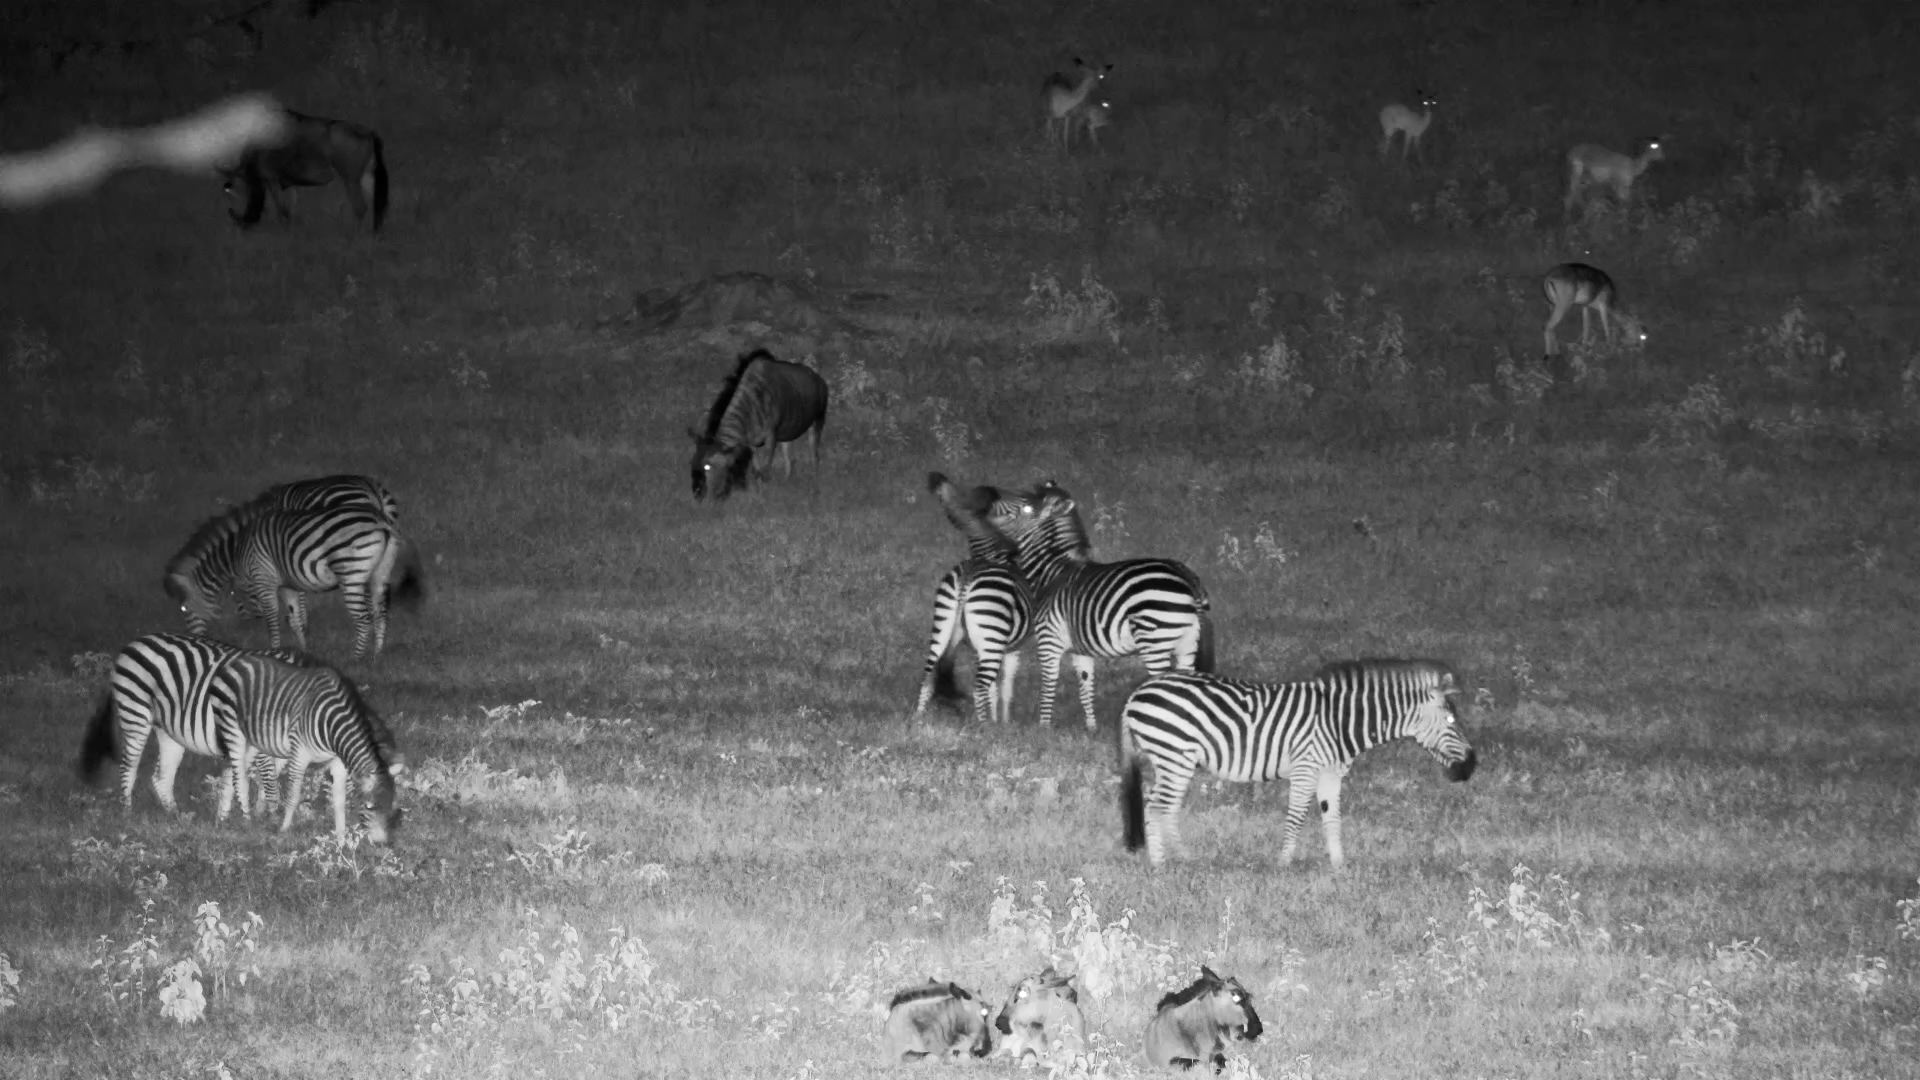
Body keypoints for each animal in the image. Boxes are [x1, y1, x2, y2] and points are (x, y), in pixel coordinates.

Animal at [164, 501, 423, 659]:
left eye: (183, 609)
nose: (196, 639)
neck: (237, 549)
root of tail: (379, 518)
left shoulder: (264, 579)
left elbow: (271, 619)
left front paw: (274, 651)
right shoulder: (287, 585)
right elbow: (295, 619)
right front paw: (302, 653)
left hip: (351, 574)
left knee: (364, 619)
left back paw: (357, 659)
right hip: (380, 573)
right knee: (381, 613)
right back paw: (376, 655)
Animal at [686, 348, 829, 501]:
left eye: (710, 466)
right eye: (700, 464)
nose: (709, 496)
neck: (750, 407)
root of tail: (821, 381)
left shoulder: (771, 435)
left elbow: (766, 470)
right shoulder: (752, 443)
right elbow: (756, 471)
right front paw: (759, 493)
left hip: (818, 419)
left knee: (814, 456)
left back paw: (814, 486)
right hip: (788, 433)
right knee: (789, 459)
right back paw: (788, 480)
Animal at [913, 473, 1037, 725]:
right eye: (1021, 508)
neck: (990, 554)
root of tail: (968, 577)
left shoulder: (983, 647)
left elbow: (995, 690)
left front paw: (996, 719)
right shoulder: (1011, 648)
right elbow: (1005, 688)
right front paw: (1003, 723)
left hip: (943, 626)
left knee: (927, 677)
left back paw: (917, 721)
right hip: (991, 638)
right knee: (978, 688)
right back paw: (983, 728)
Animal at [986, 480, 1214, 730]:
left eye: (1025, 508)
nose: (988, 505)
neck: (1053, 572)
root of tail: (1186, 575)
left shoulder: (1049, 639)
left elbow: (1048, 683)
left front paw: (1043, 727)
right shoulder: (1081, 648)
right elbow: (1086, 684)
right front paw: (1091, 727)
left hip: (1155, 640)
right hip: (1188, 641)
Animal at [1118, 659, 1478, 868]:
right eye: (1450, 720)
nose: (1472, 765)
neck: (1339, 722)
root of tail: (1138, 692)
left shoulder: (1331, 774)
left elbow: (1332, 818)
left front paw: (1339, 867)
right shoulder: (1306, 768)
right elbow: (1295, 817)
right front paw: (1283, 864)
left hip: (1173, 761)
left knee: (1165, 807)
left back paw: (1183, 859)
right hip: (1175, 756)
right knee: (1156, 806)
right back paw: (1160, 866)